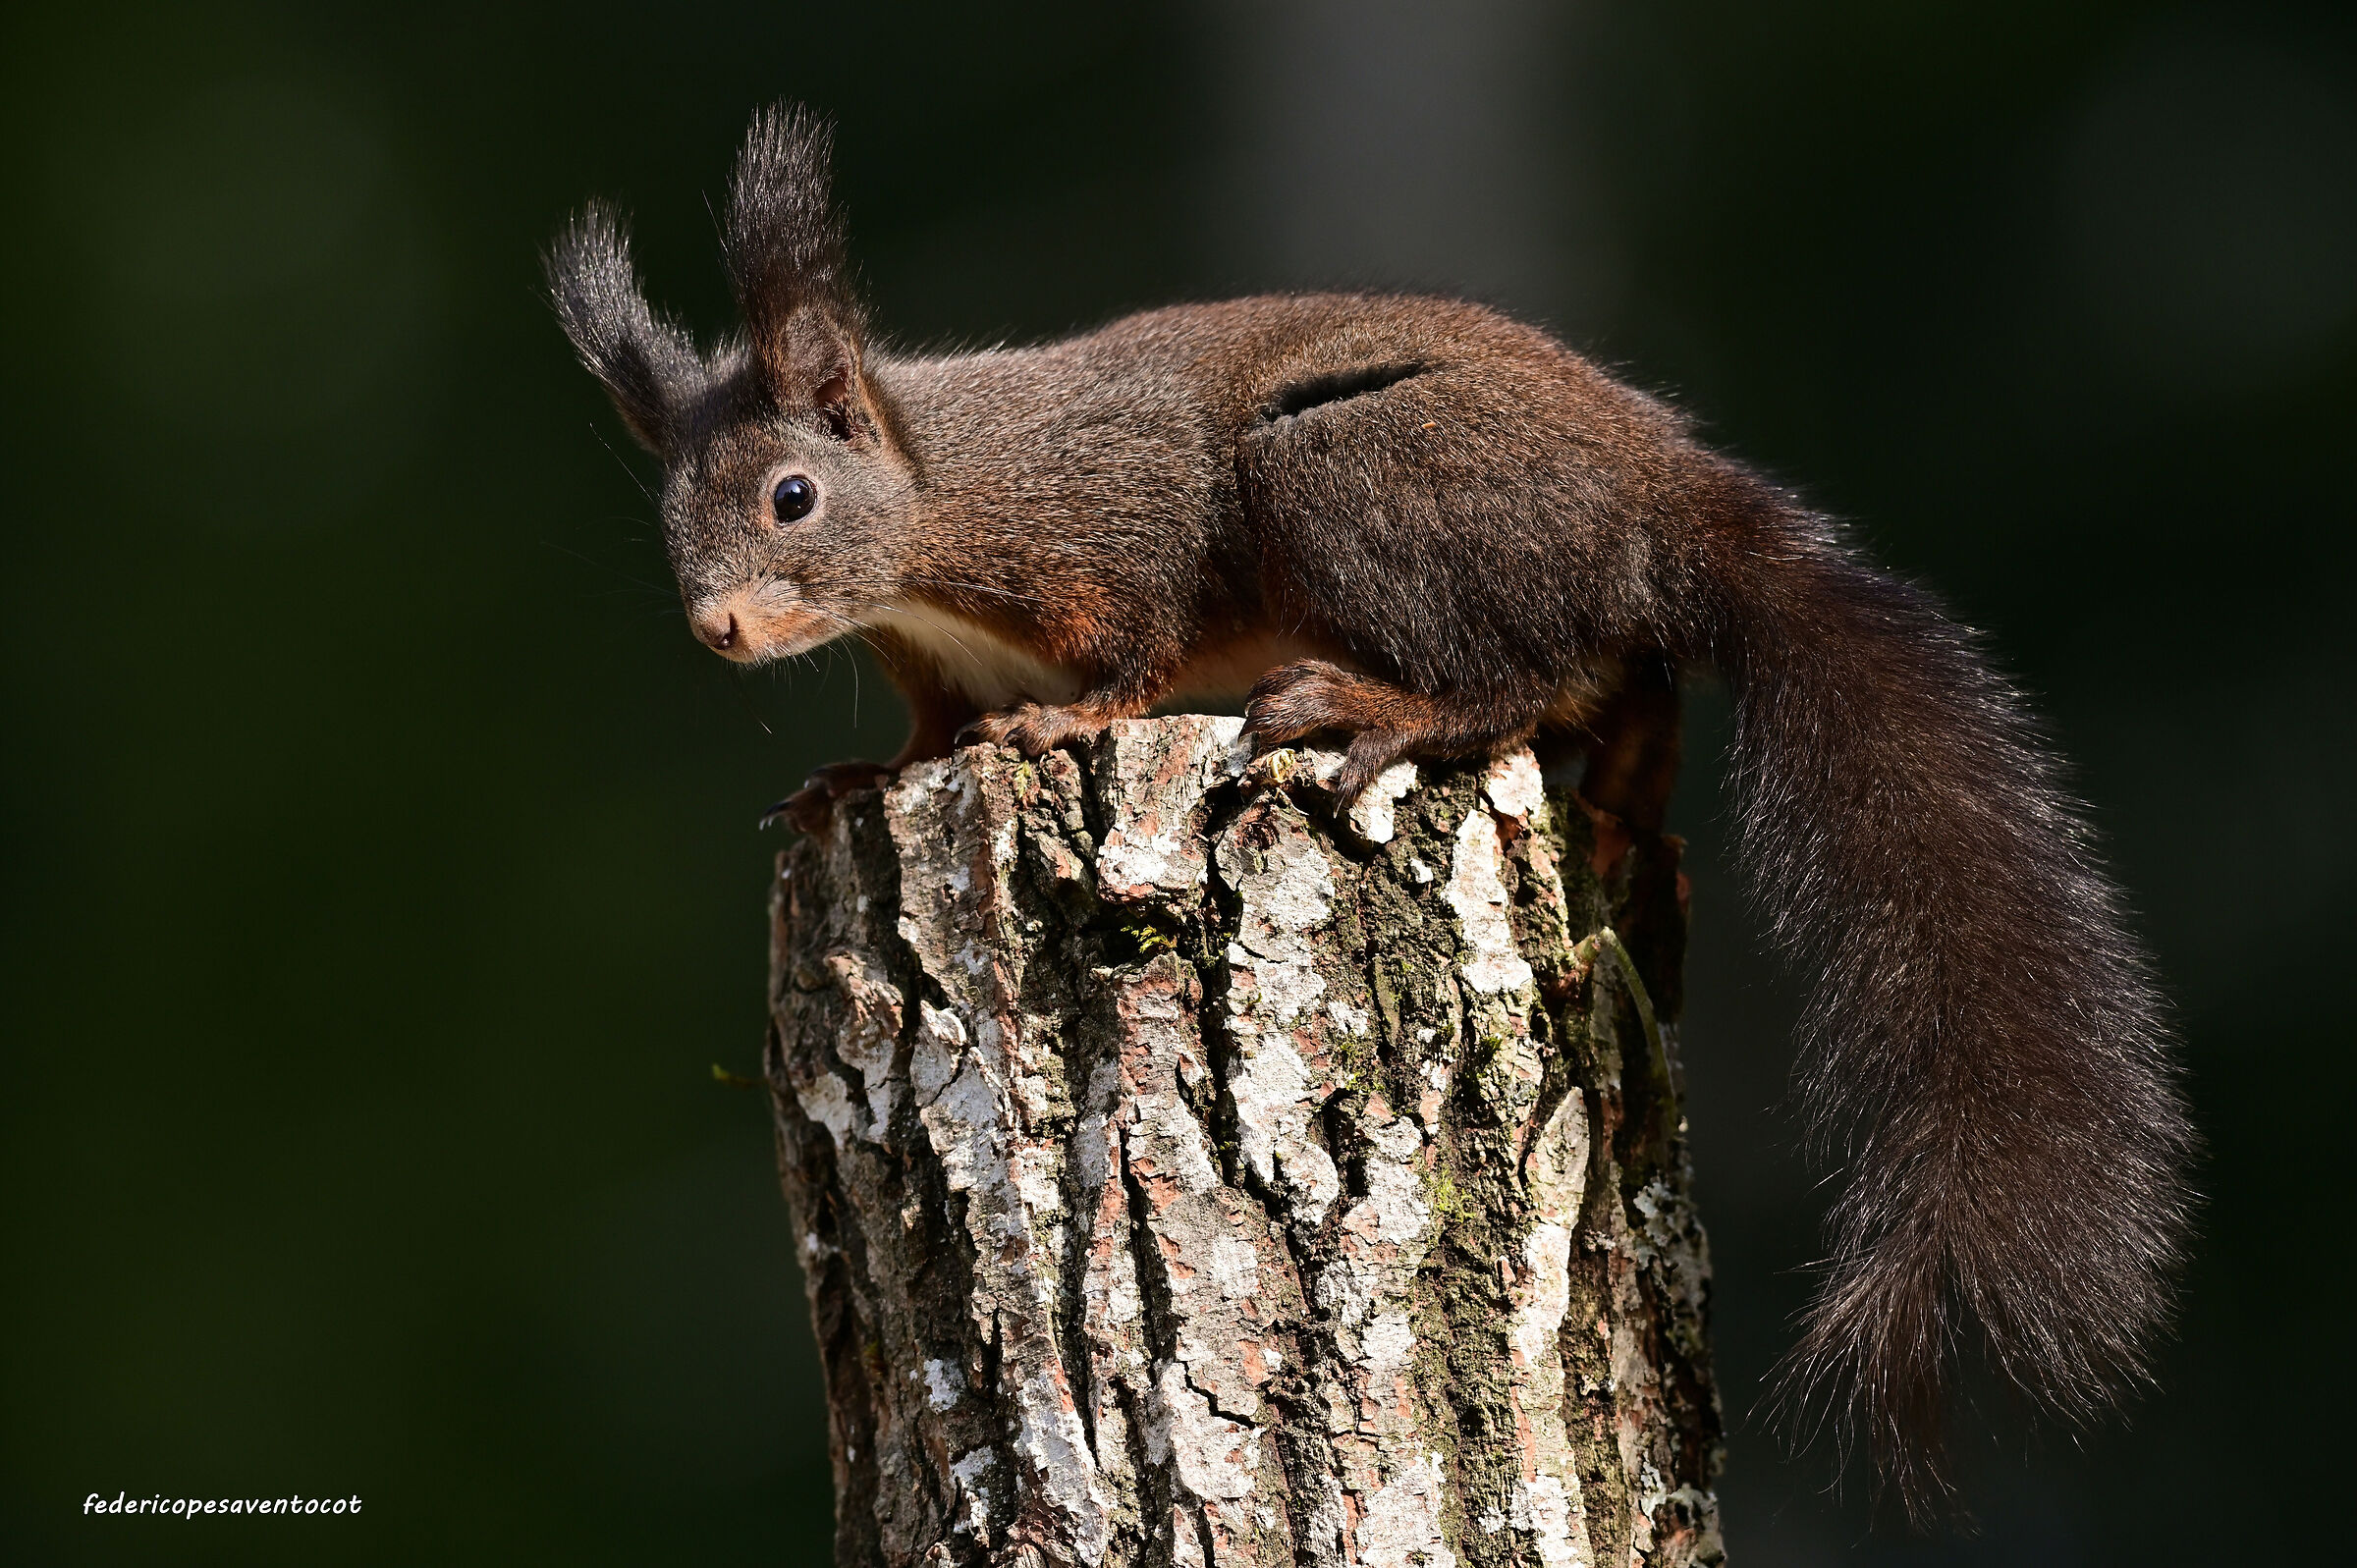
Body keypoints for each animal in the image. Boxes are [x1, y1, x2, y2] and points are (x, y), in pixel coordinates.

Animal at [549, 104, 2191, 1522]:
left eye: (791, 498)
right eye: (668, 521)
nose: (718, 630)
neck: (934, 513)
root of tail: (1670, 499)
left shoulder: (1113, 522)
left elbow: (1136, 646)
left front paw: (1067, 722)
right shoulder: (927, 663)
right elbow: (926, 736)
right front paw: (862, 778)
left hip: (1349, 470)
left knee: (1509, 678)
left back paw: (1382, 709)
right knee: (1624, 690)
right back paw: (1617, 802)